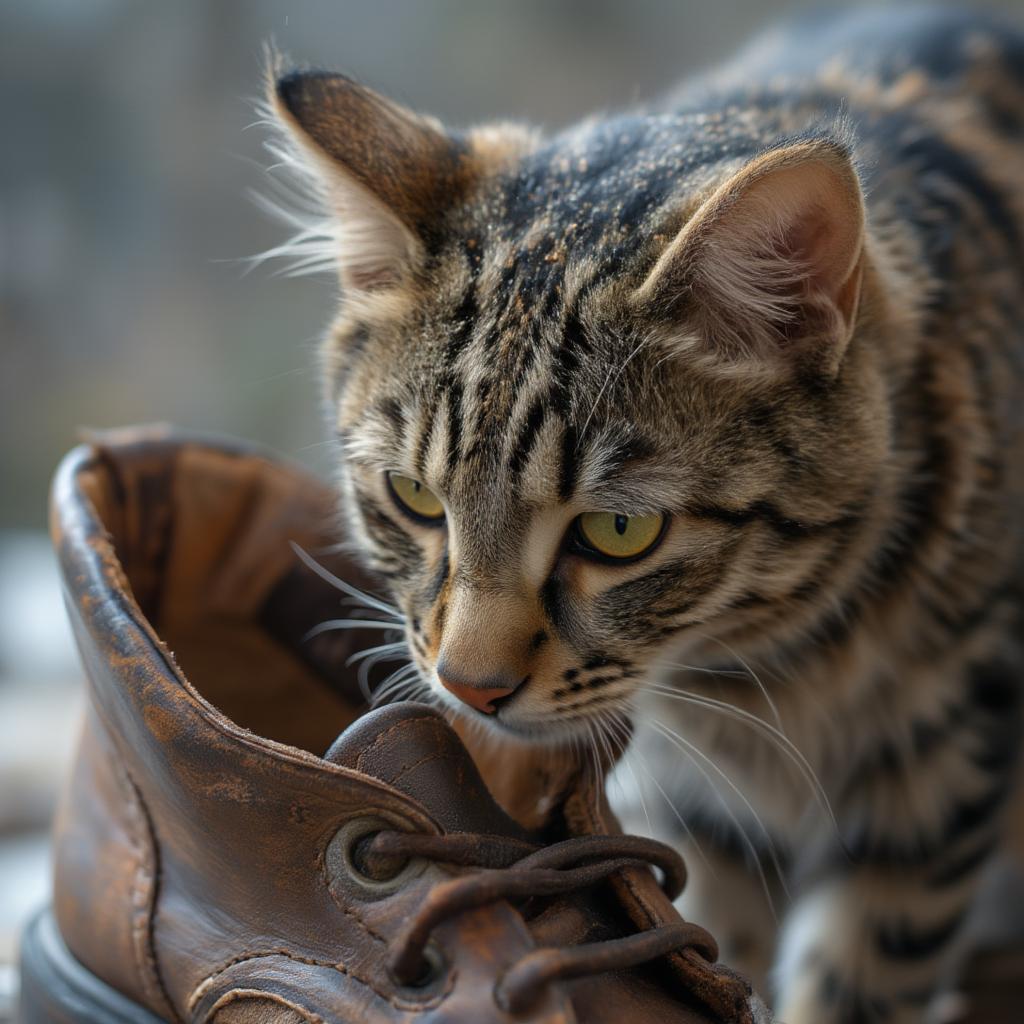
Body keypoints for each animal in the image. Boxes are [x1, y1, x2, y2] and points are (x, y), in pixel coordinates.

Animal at [266, 9, 1024, 1024]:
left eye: (619, 532)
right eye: (414, 498)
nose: (471, 686)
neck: (763, 673)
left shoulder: (944, 759)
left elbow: (862, 973)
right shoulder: (701, 798)